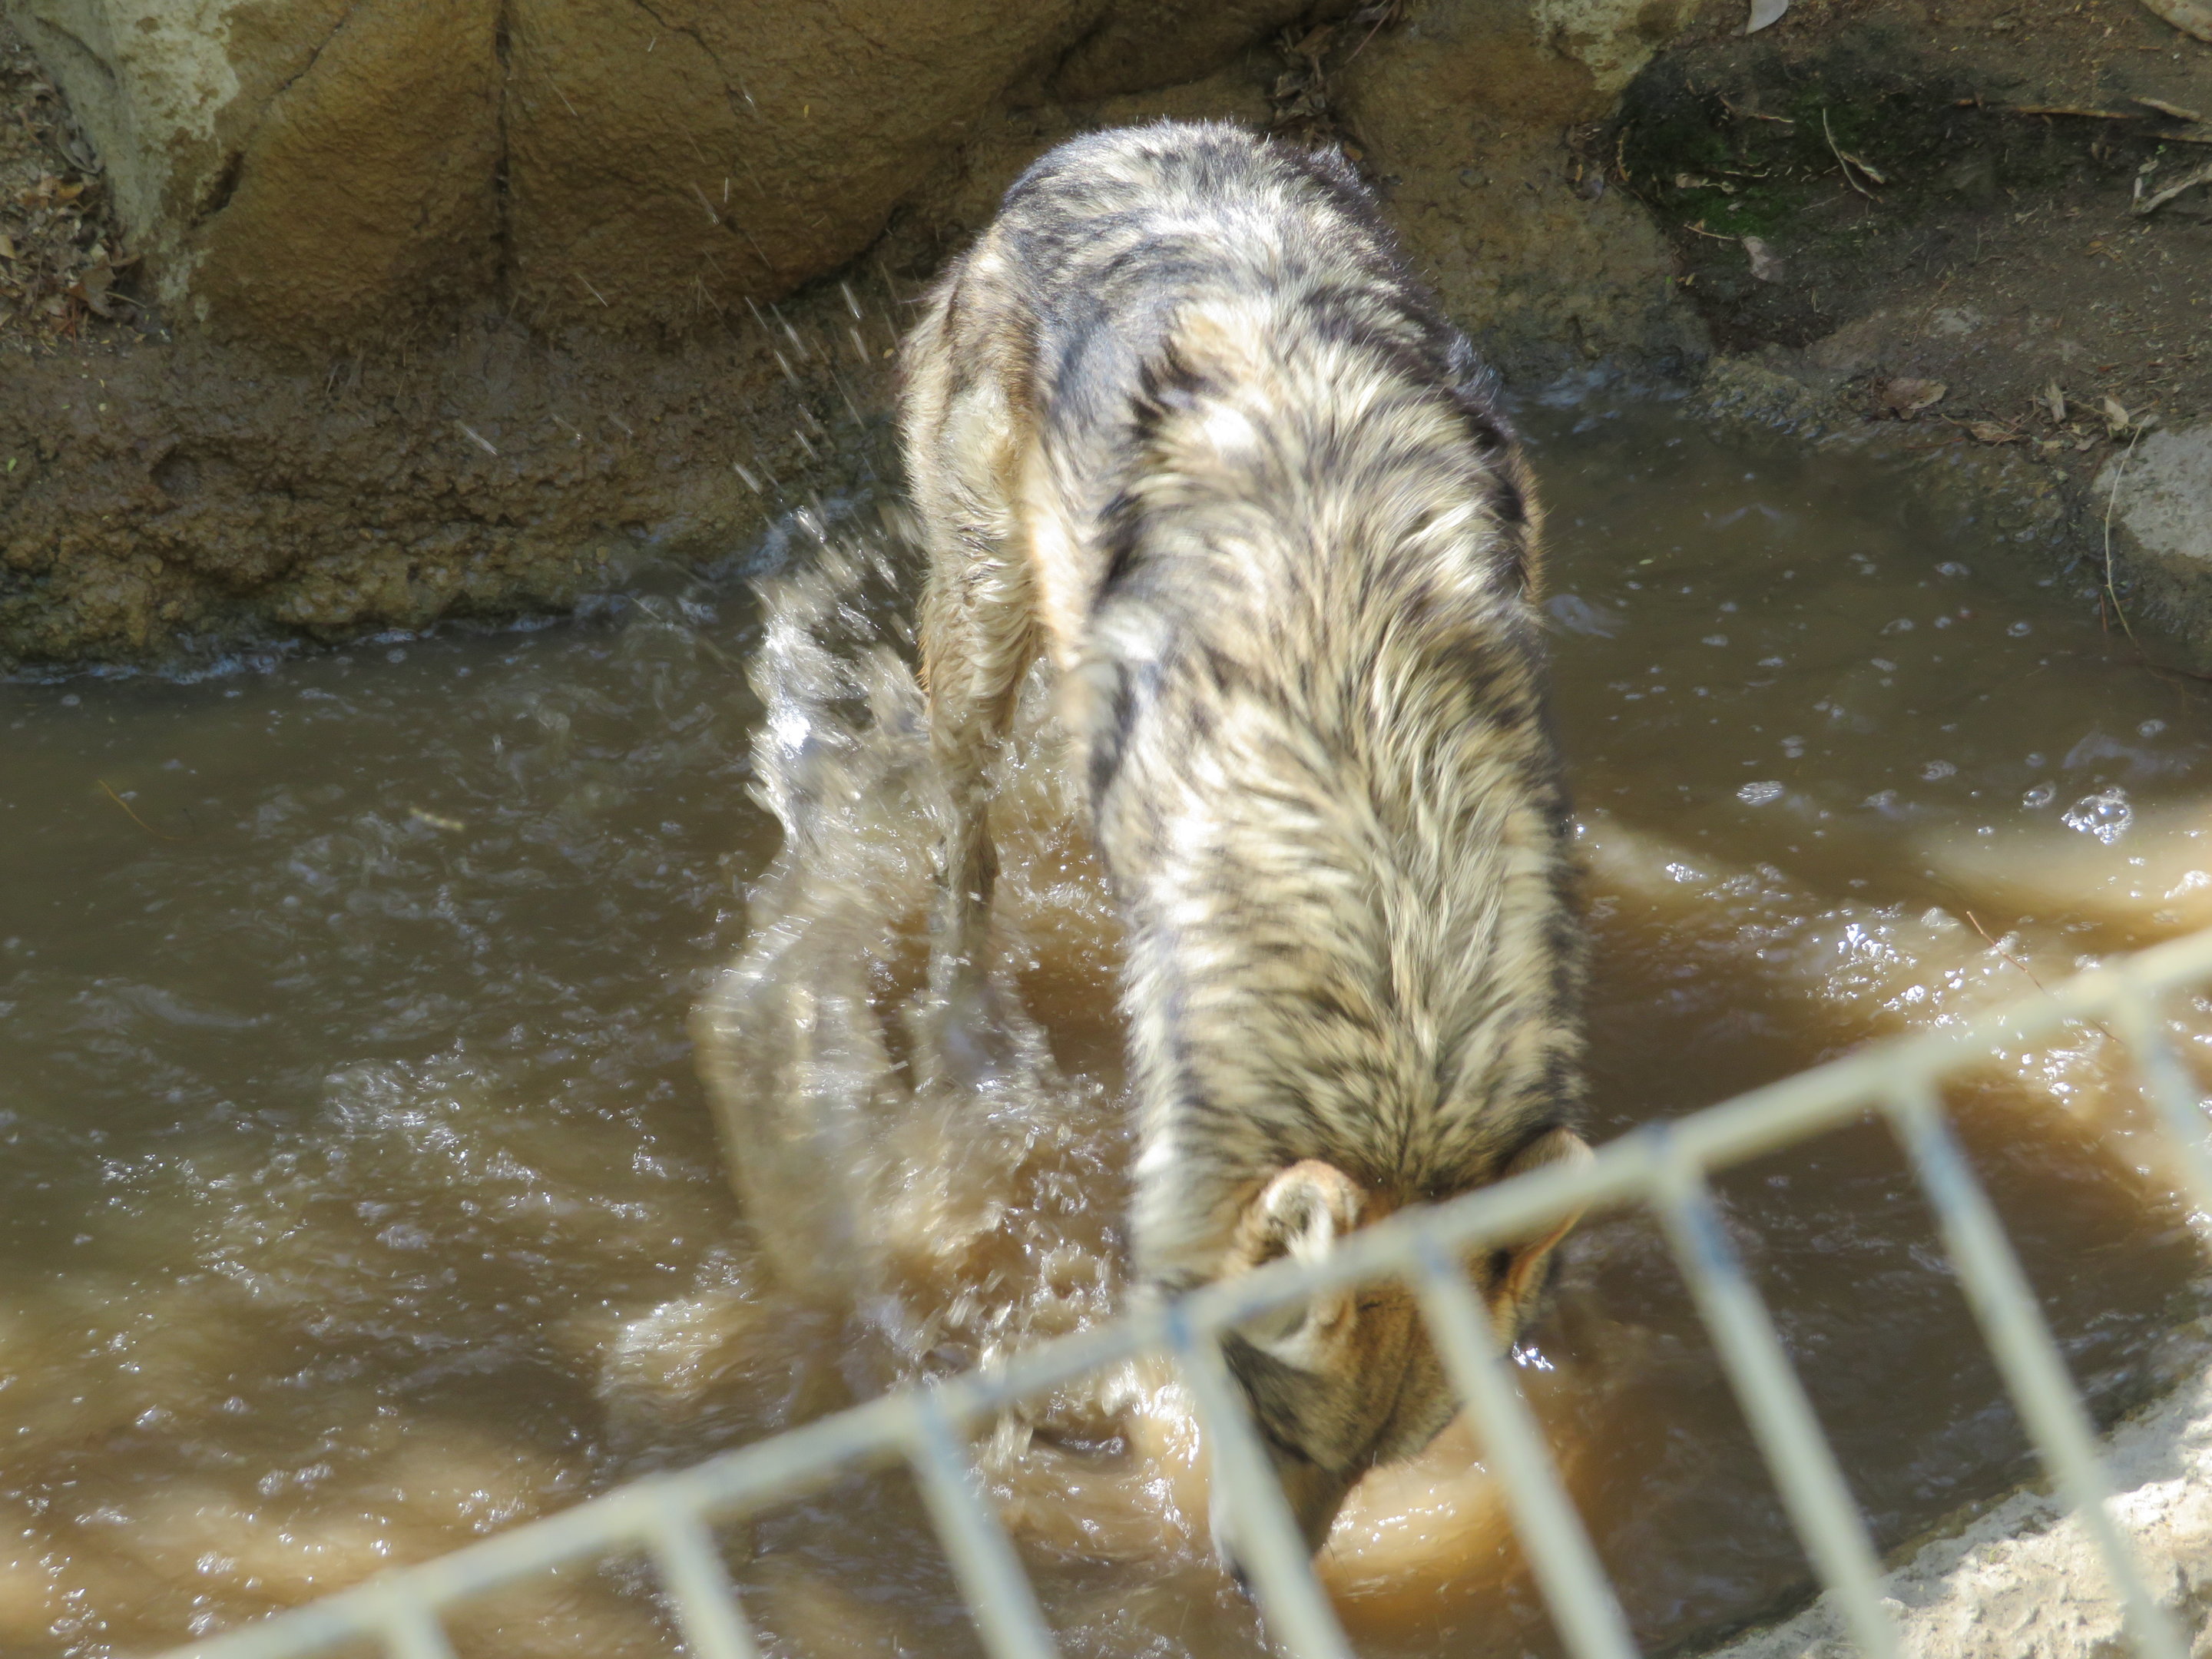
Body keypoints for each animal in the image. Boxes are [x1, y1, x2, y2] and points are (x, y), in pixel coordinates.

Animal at [897, 121, 1590, 1562]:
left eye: (1380, 1461)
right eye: (1266, 1422)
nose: (1255, 1588)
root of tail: (1127, 137)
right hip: (981, 640)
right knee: (965, 849)